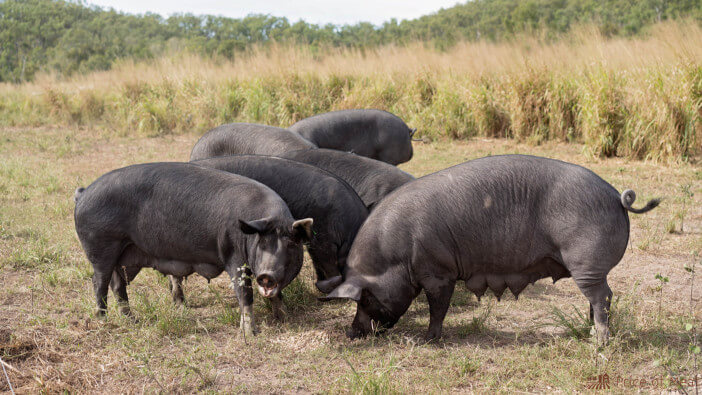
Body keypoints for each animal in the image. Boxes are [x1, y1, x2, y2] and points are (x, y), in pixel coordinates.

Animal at [73, 162, 312, 336]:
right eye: (262, 243)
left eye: (291, 244)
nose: (266, 275)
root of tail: (83, 194)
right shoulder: (233, 256)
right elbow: (245, 294)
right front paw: (251, 334)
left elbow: (276, 295)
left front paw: (285, 317)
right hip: (100, 247)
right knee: (98, 282)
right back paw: (103, 319)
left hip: (124, 255)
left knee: (117, 285)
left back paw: (131, 319)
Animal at [322, 154, 664, 344]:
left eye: (365, 297)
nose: (351, 333)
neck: (395, 255)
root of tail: (617, 196)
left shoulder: (438, 272)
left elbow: (438, 308)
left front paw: (427, 340)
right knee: (600, 297)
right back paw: (589, 332)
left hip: (586, 261)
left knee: (602, 296)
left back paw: (600, 342)